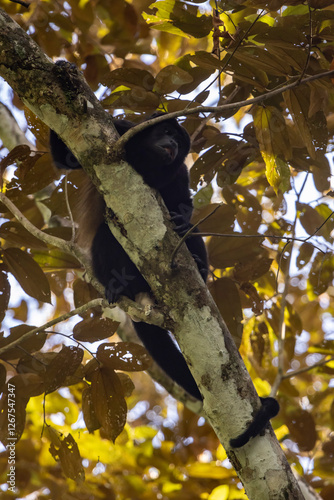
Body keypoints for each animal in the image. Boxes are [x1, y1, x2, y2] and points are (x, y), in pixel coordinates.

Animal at [49, 98, 278, 450]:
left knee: (192, 235)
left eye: (180, 143)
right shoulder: (120, 131)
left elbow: (184, 208)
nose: (172, 143)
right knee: (105, 233)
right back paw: (118, 286)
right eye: (167, 131)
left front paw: (183, 224)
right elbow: (65, 156)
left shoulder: (180, 172)